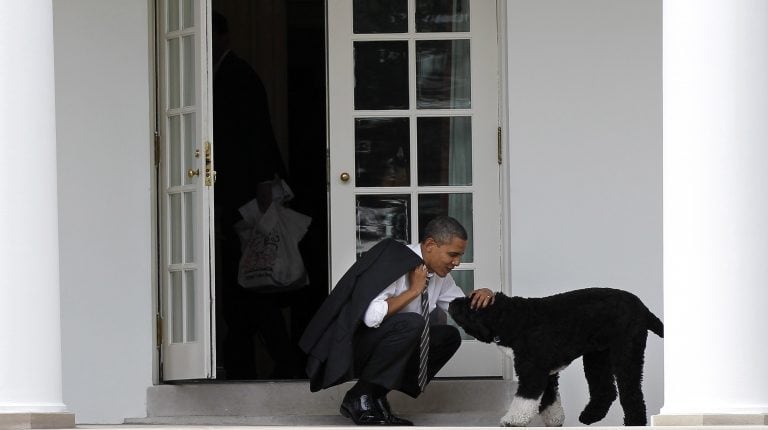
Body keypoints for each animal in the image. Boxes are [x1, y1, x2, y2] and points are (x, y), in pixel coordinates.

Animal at [448, 288, 664, 424]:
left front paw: (511, 420)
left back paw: (634, 421)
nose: (451, 302)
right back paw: (590, 416)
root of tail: (644, 308)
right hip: (597, 357)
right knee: (606, 390)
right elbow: (549, 400)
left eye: (469, 304)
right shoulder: (547, 374)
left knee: (632, 394)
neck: (511, 318)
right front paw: (555, 420)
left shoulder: (532, 372)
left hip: (627, 353)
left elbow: (524, 400)